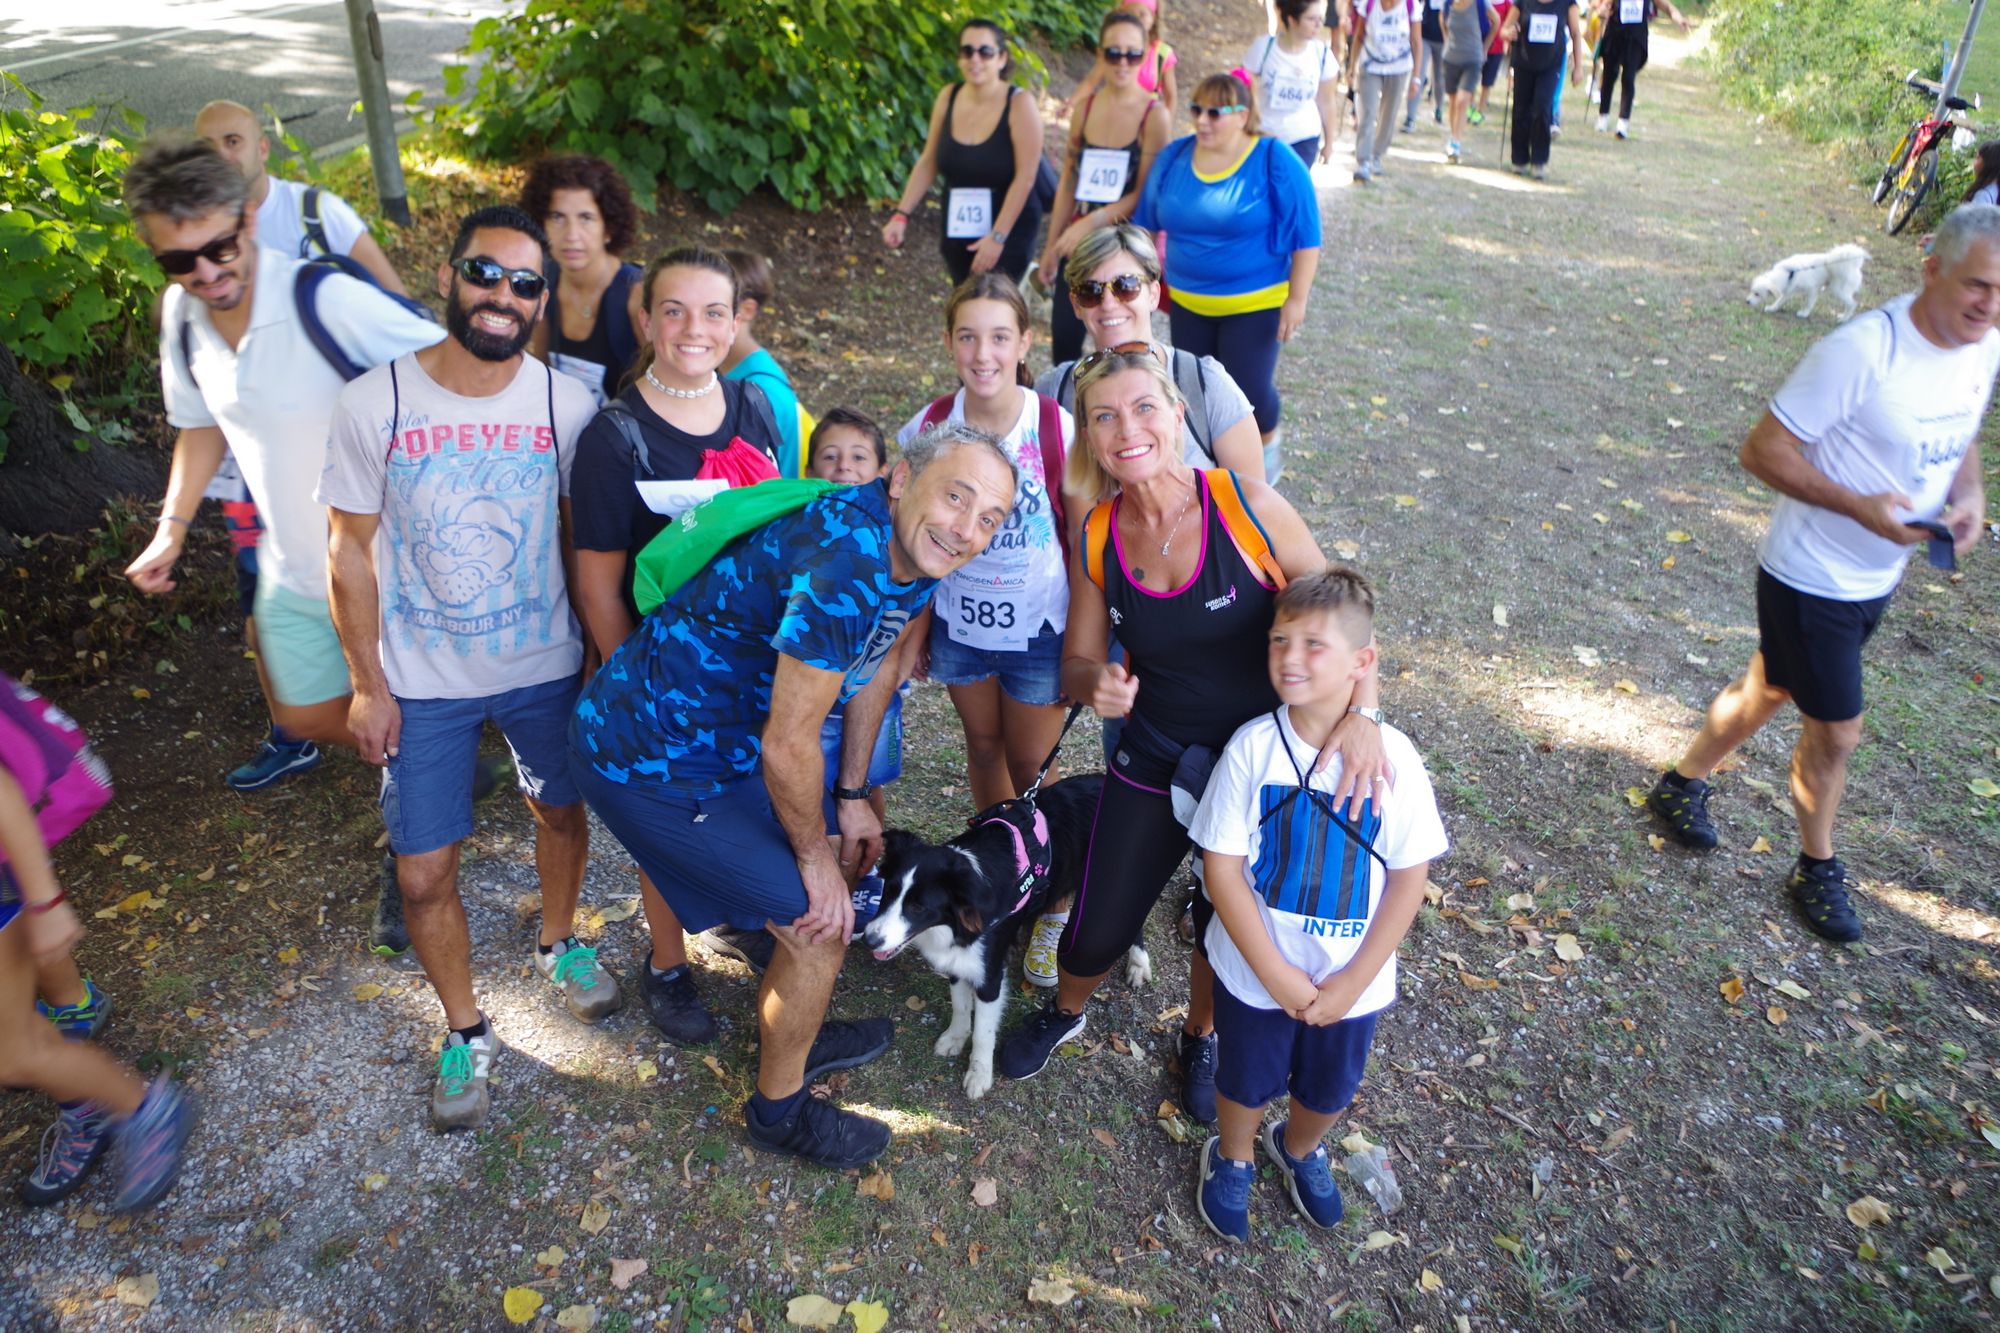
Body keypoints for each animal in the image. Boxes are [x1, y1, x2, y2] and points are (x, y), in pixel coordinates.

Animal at [861, 774, 1152, 1099]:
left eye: (918, 906)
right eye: (888, 891)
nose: (869, 940)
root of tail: (1103, 777)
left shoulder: (989, 975)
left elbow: (983, 1033)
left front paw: (979, 1075)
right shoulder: (960, 959)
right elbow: (960, 1006)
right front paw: (955, 1038)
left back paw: (1139, 964)